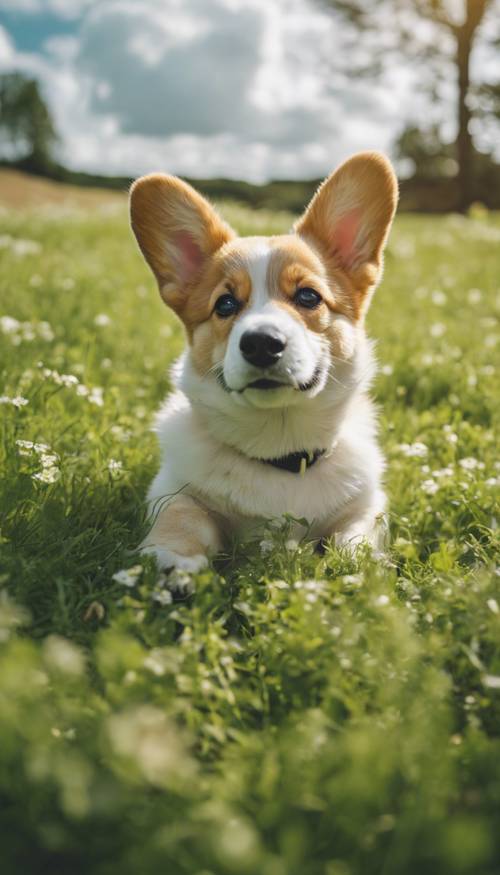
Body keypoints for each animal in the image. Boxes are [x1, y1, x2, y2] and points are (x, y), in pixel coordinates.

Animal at [129, 151, 398, 576]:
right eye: (225, 304)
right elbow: (183, 516)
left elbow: (355, 534)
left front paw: (359, 564)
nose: (261, 343)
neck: (280, 446)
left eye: (308, 296)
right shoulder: (171, 489)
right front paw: (172, 561)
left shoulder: (368, 503)